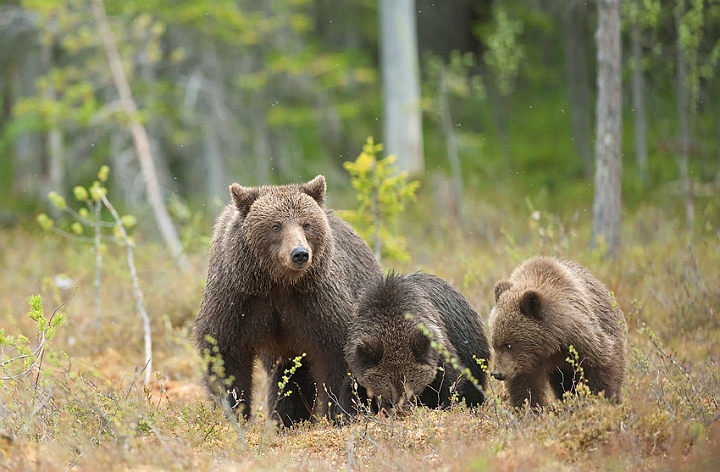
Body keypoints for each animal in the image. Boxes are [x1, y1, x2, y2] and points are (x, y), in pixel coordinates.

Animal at [191, 175, 382, 426]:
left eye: (306, 224)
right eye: (276, 225)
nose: (299, 253)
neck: (277, 284)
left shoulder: (318, 301)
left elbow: (338, 357)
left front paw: (341, 413)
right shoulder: (236, 299)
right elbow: (225, 356)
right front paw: (235, 414)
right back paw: (287, 419)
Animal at [490, 256, 624, 408]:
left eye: (508, 345)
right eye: (494, 345)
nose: (497, 373)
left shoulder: (585, 341)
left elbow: (603, 367)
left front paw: (604, 400)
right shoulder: (527, 364)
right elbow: (525, 387)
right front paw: (530, 407)